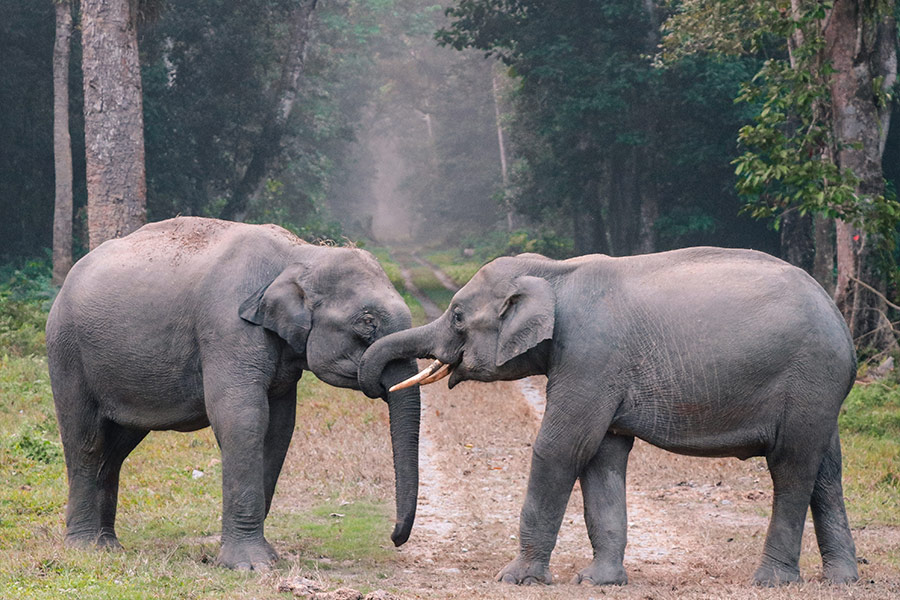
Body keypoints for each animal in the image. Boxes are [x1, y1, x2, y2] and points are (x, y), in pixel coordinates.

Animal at [46, 217, 420, 570]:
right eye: (367, 322)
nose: (395, 537)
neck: (301, 254)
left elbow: (279, 427)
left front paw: (266, 557)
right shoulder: (227, 328)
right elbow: (243, 419)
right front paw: (250, 565)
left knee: (116, 449)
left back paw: (108, 545)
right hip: (67, 351)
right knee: (86, 441)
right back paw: (85, 547)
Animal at [358, 247, 859, 587]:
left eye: (458, 316)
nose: (396, 540)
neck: (554, 272)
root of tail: (843, 324)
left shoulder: (591, 357)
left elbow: (561, 447)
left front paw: (515, 579)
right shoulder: (599, 370)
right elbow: (602, 455)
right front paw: (597, 581)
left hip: (810, 377)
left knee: (791, 468)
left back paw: (771, 581)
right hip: (821, 391)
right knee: (826, 471)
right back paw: (841, 580)